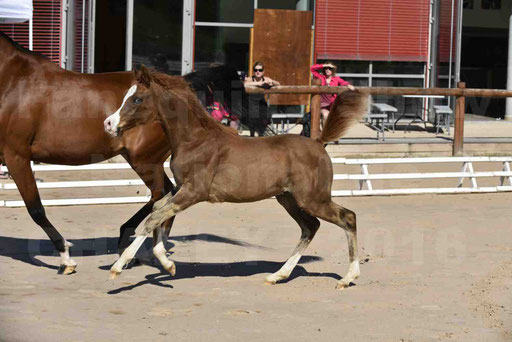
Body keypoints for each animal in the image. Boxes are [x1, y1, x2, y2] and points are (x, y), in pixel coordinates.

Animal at [105, 66, 368, 288]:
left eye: (137, 99)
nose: (108, 123)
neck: (195, 140)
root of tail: (318, 142)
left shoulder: (194, 192)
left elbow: (153, 217)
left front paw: (119, 266)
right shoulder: (181, 188)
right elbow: (158, 210)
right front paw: (167, 264)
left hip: (312, 199)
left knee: (348, 217)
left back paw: (348, 278)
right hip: (288, 198)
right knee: (310, 227)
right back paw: (278, 275)